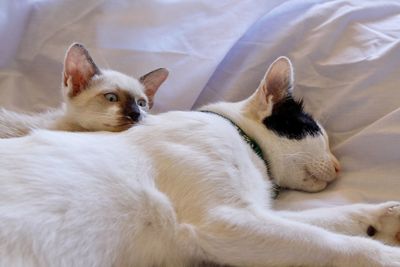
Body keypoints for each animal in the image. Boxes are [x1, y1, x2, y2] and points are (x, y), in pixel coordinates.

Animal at [0, 56, 400, 267]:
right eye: (316, 132)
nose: (339, 167)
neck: (247, 148)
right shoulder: (225, 221)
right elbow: (331, 242)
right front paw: (385, 254)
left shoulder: (256, 212)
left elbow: (328, 219)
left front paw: (385, 219)